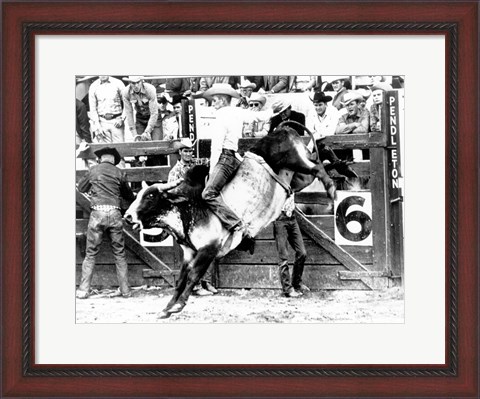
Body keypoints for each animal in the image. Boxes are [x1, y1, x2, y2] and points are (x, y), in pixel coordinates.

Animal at [124, 122, 348, 318]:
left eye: (150, 196)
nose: (127, 216)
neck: (189, 207)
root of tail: (283, 129)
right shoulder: (189, 253)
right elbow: (180, 280)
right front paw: (167, 308)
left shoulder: (209, 249)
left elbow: (193, 277)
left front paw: (178, 305)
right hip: (298, 179)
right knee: (316, 164)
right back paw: (333, 166)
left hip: (296, 161)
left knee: (317, 168)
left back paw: (332, 186)